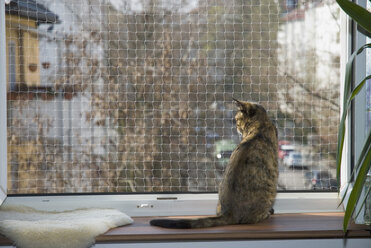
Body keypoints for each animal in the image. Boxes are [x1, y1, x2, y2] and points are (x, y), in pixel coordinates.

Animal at [151, 99, 280, 229]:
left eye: (237, 119)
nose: (236, 126)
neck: (260, 124)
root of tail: (229, 213)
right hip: (271, 189)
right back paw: (268, 213)